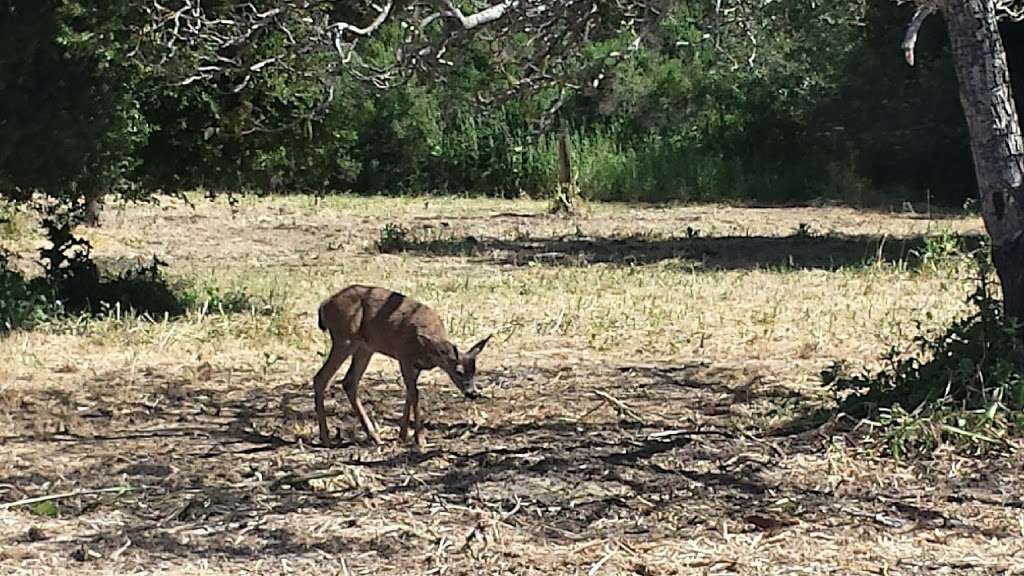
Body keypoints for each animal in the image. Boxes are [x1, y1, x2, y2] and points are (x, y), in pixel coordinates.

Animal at [309, 282, 489, 448]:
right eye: (458, 371)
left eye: (475, 370)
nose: (473, 393)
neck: (426, 347)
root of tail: (324, 304)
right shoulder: (404, 357)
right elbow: (415, 394)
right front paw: (420, 439)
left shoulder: (415, 367)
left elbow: (410, 394)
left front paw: (403, 435)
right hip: (345, 338)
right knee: (321, 378)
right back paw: (326, 438)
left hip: (366, 347)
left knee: (349, 381)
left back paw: (374, 436)